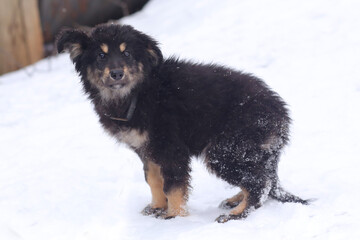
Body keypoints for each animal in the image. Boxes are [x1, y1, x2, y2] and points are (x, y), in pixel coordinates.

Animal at [57, 23, 310, 222]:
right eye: (101, 56)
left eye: (127, 54)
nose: (117, 73)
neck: (139, 91)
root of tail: (281, 113)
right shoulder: (146, 148)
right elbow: (153, 179)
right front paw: (157, 207)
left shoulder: (170, 146)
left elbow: (173, 184)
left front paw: (174, 216)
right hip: (248, 151)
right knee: (260, 177)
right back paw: (236, 200)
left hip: (225, 150)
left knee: (259, 183)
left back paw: (237, 213)